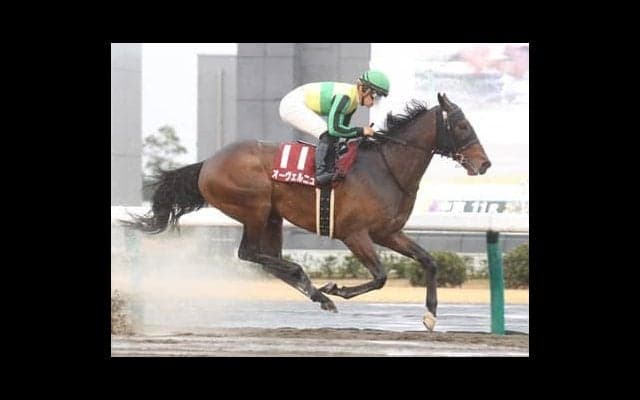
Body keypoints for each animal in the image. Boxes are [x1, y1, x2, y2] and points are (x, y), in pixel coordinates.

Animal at [124, 93, 491, 330]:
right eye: (461, 125)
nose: (484, 163)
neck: (385, 168)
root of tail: (207, 164)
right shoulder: (354, 234)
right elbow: (380, 277)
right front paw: (337, 289)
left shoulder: (388, 232)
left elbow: (429, 261)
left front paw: (430, 315)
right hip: (254, 208)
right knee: (249, 254)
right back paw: (309, 281)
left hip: (272, 216)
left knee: (266, 258)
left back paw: (313, 291)